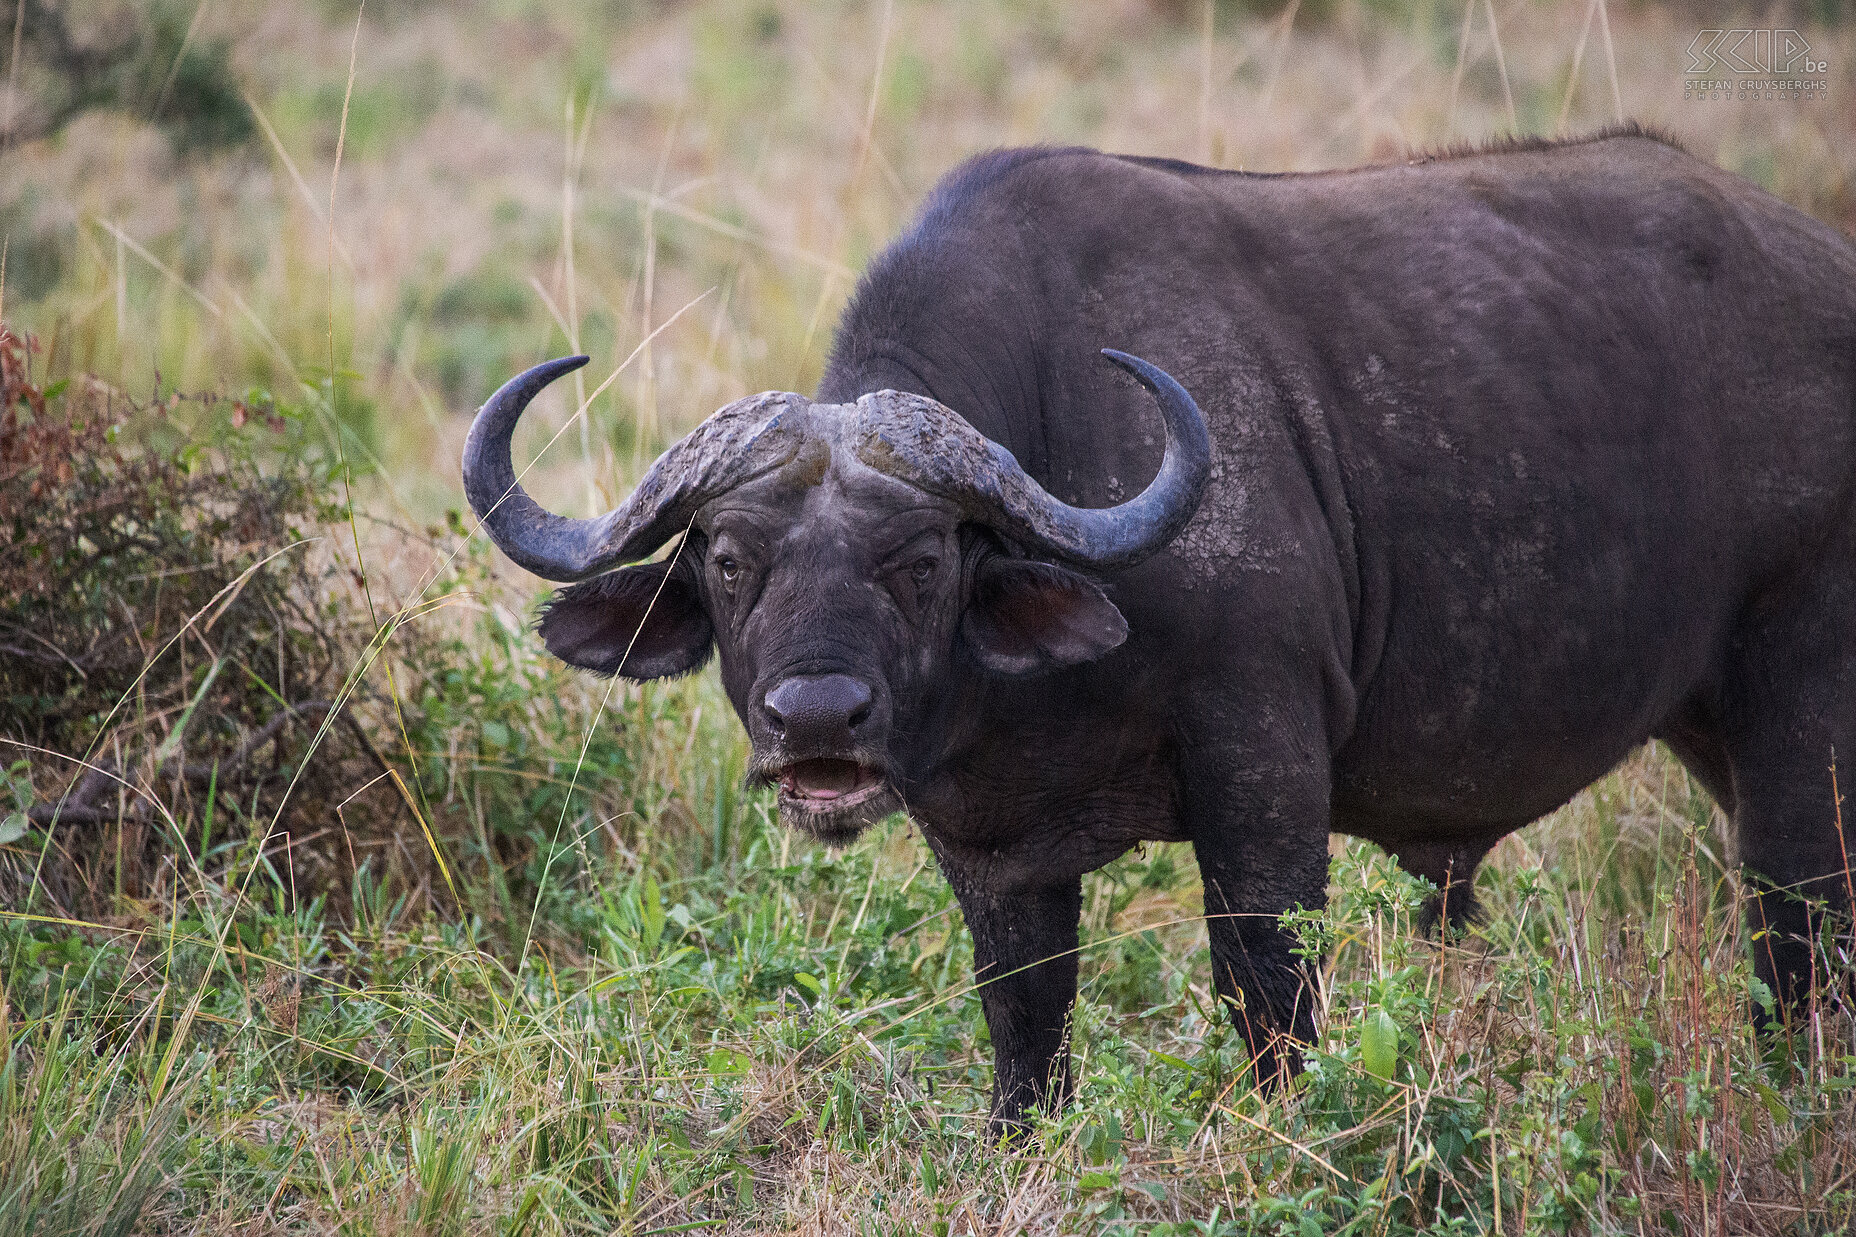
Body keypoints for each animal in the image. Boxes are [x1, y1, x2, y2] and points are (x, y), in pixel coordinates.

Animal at [467, 125, 1856, 1129]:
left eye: (919, 560)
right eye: (729, 559)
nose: (816, 719)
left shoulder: (1263, 774)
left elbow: (1266, 996)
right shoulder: (992, 857)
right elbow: (1026, 1033)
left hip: (1797, 698)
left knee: (1796, 925)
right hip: (1706, 727)